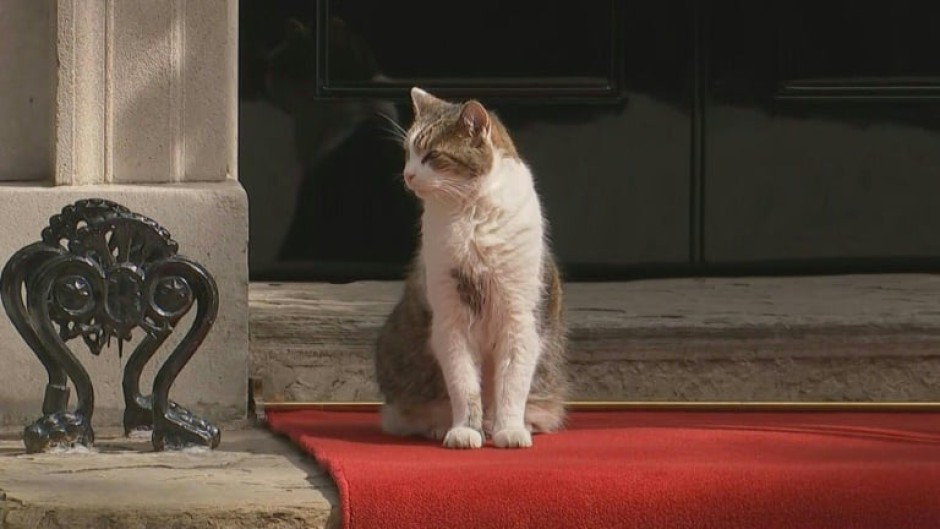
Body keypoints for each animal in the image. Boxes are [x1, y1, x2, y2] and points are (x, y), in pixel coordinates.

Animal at [372, 87, 564, 450]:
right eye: (408, 153)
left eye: (432, 155)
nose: (408, 175)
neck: (471, 213)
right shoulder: (451, 318)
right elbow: (463, 384)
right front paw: (464, 430)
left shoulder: (520, 317)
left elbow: (512, 384)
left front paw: (510, 429)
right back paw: (441, 426)